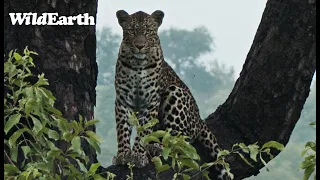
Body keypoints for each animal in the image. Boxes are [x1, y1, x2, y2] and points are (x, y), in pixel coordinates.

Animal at [112, 10, 230, 180]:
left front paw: (139, 155)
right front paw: (123, 154)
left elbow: (144, 131)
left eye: (148, 31)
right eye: (132, 31)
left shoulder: (152, 100)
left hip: (175, 92)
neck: (137, 65)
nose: (140, 46)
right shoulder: (122, 99)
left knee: (181, 139)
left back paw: (156, 146)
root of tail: (199, 119)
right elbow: (122, 128)